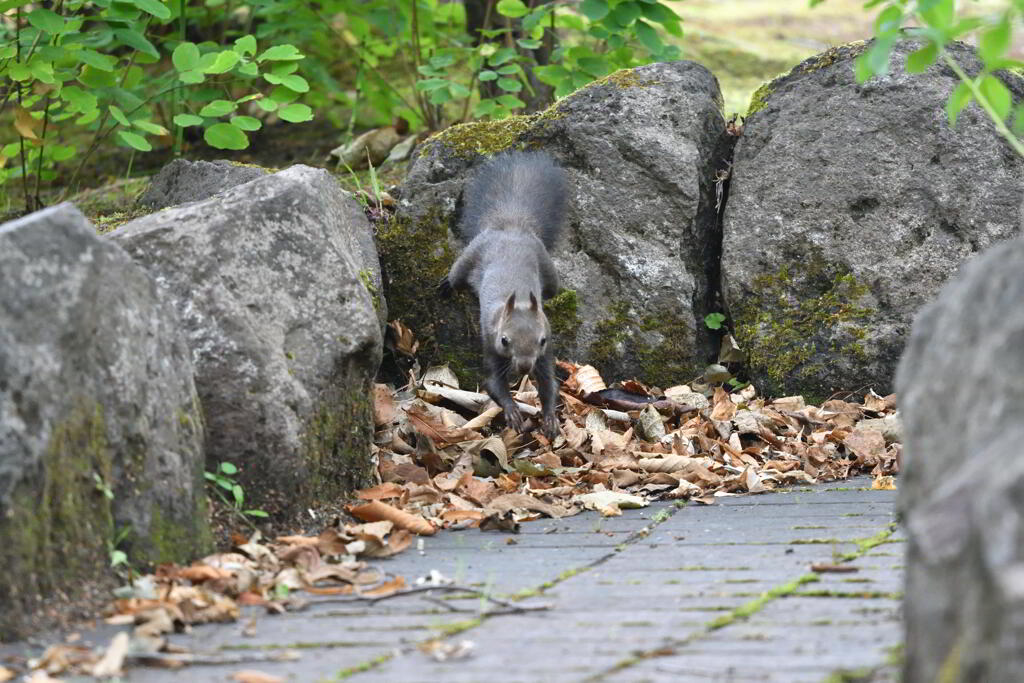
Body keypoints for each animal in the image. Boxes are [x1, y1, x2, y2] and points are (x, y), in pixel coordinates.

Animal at [440, 150, 569, 440]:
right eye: (504, 340)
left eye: (542, 340)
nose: (524, 367)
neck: (519, 300)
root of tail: (511, 225)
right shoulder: (489, 341)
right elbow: (493, 384)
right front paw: (512, 412)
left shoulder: (546, 350)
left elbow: (549, 384)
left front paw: (550, 418)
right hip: (468, 257)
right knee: (455, 276)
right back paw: (445, 286)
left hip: (549, 270)